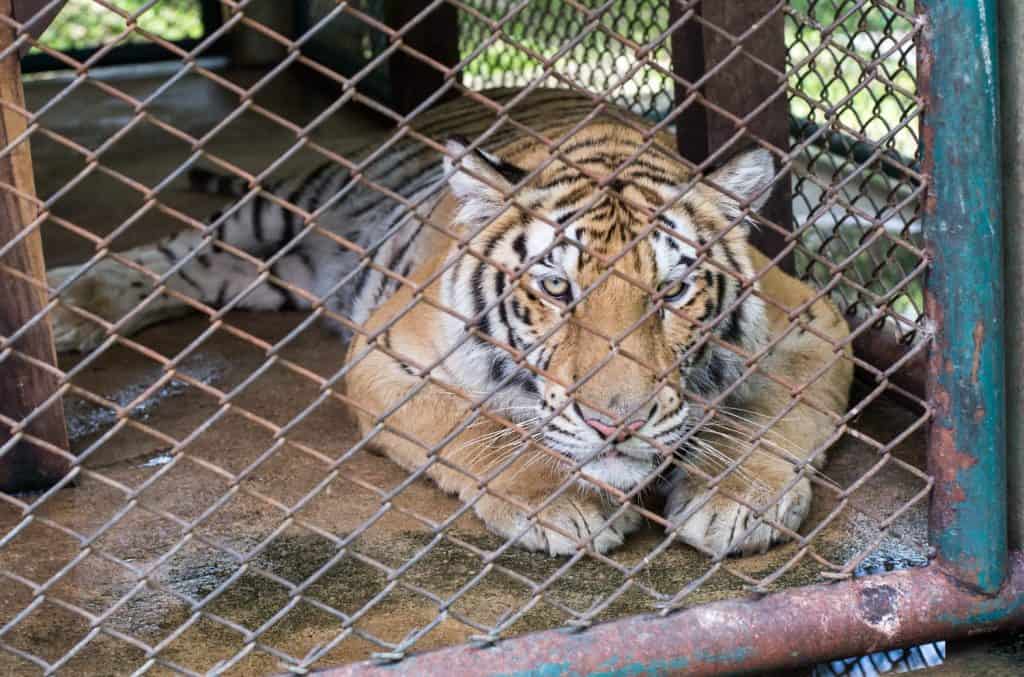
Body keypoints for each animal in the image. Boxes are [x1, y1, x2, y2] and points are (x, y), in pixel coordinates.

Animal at [47, 88, 853, 557]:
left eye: (674, 291)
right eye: (555, 287)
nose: (615, 425)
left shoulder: (812, 316)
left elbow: (780, 414)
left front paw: (734, 501)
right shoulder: (385, 351)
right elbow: (472, 427)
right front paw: (563, 503)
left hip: (273, 271)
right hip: (279, 212)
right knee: (167, 253)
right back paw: (60, 308)